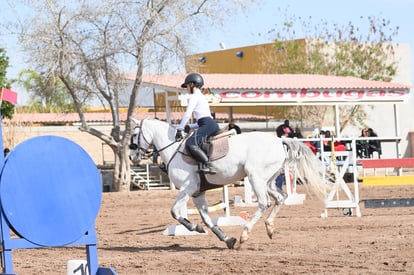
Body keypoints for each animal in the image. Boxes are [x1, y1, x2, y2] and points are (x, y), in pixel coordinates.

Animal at [131, 118, 328, 250]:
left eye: (133, 134)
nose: (133, 157)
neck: (174, 148)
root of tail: (279, 140)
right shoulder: (197, 193)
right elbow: (207, 219)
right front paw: (225, 239)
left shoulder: (188, 189)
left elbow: (174, 212)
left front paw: (193, 227)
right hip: (269, 181)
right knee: (281, 198)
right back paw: (269, 228)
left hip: (255, 176)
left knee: (264, 203)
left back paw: (245, 234)